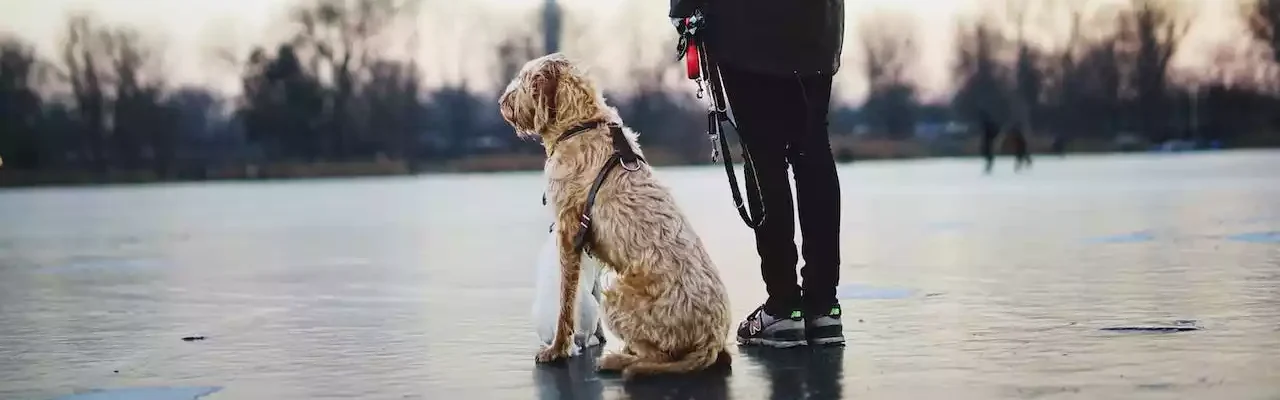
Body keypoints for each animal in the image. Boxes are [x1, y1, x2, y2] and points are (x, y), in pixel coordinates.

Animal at [496, 53, 732, 376]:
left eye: (523, 79)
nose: (502, 102)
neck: (580, 123)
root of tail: (711, 339)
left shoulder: (569, 231)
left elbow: (565, 301)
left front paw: (557, 349)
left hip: (617, 294)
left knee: (657, 357)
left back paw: (618, 360)